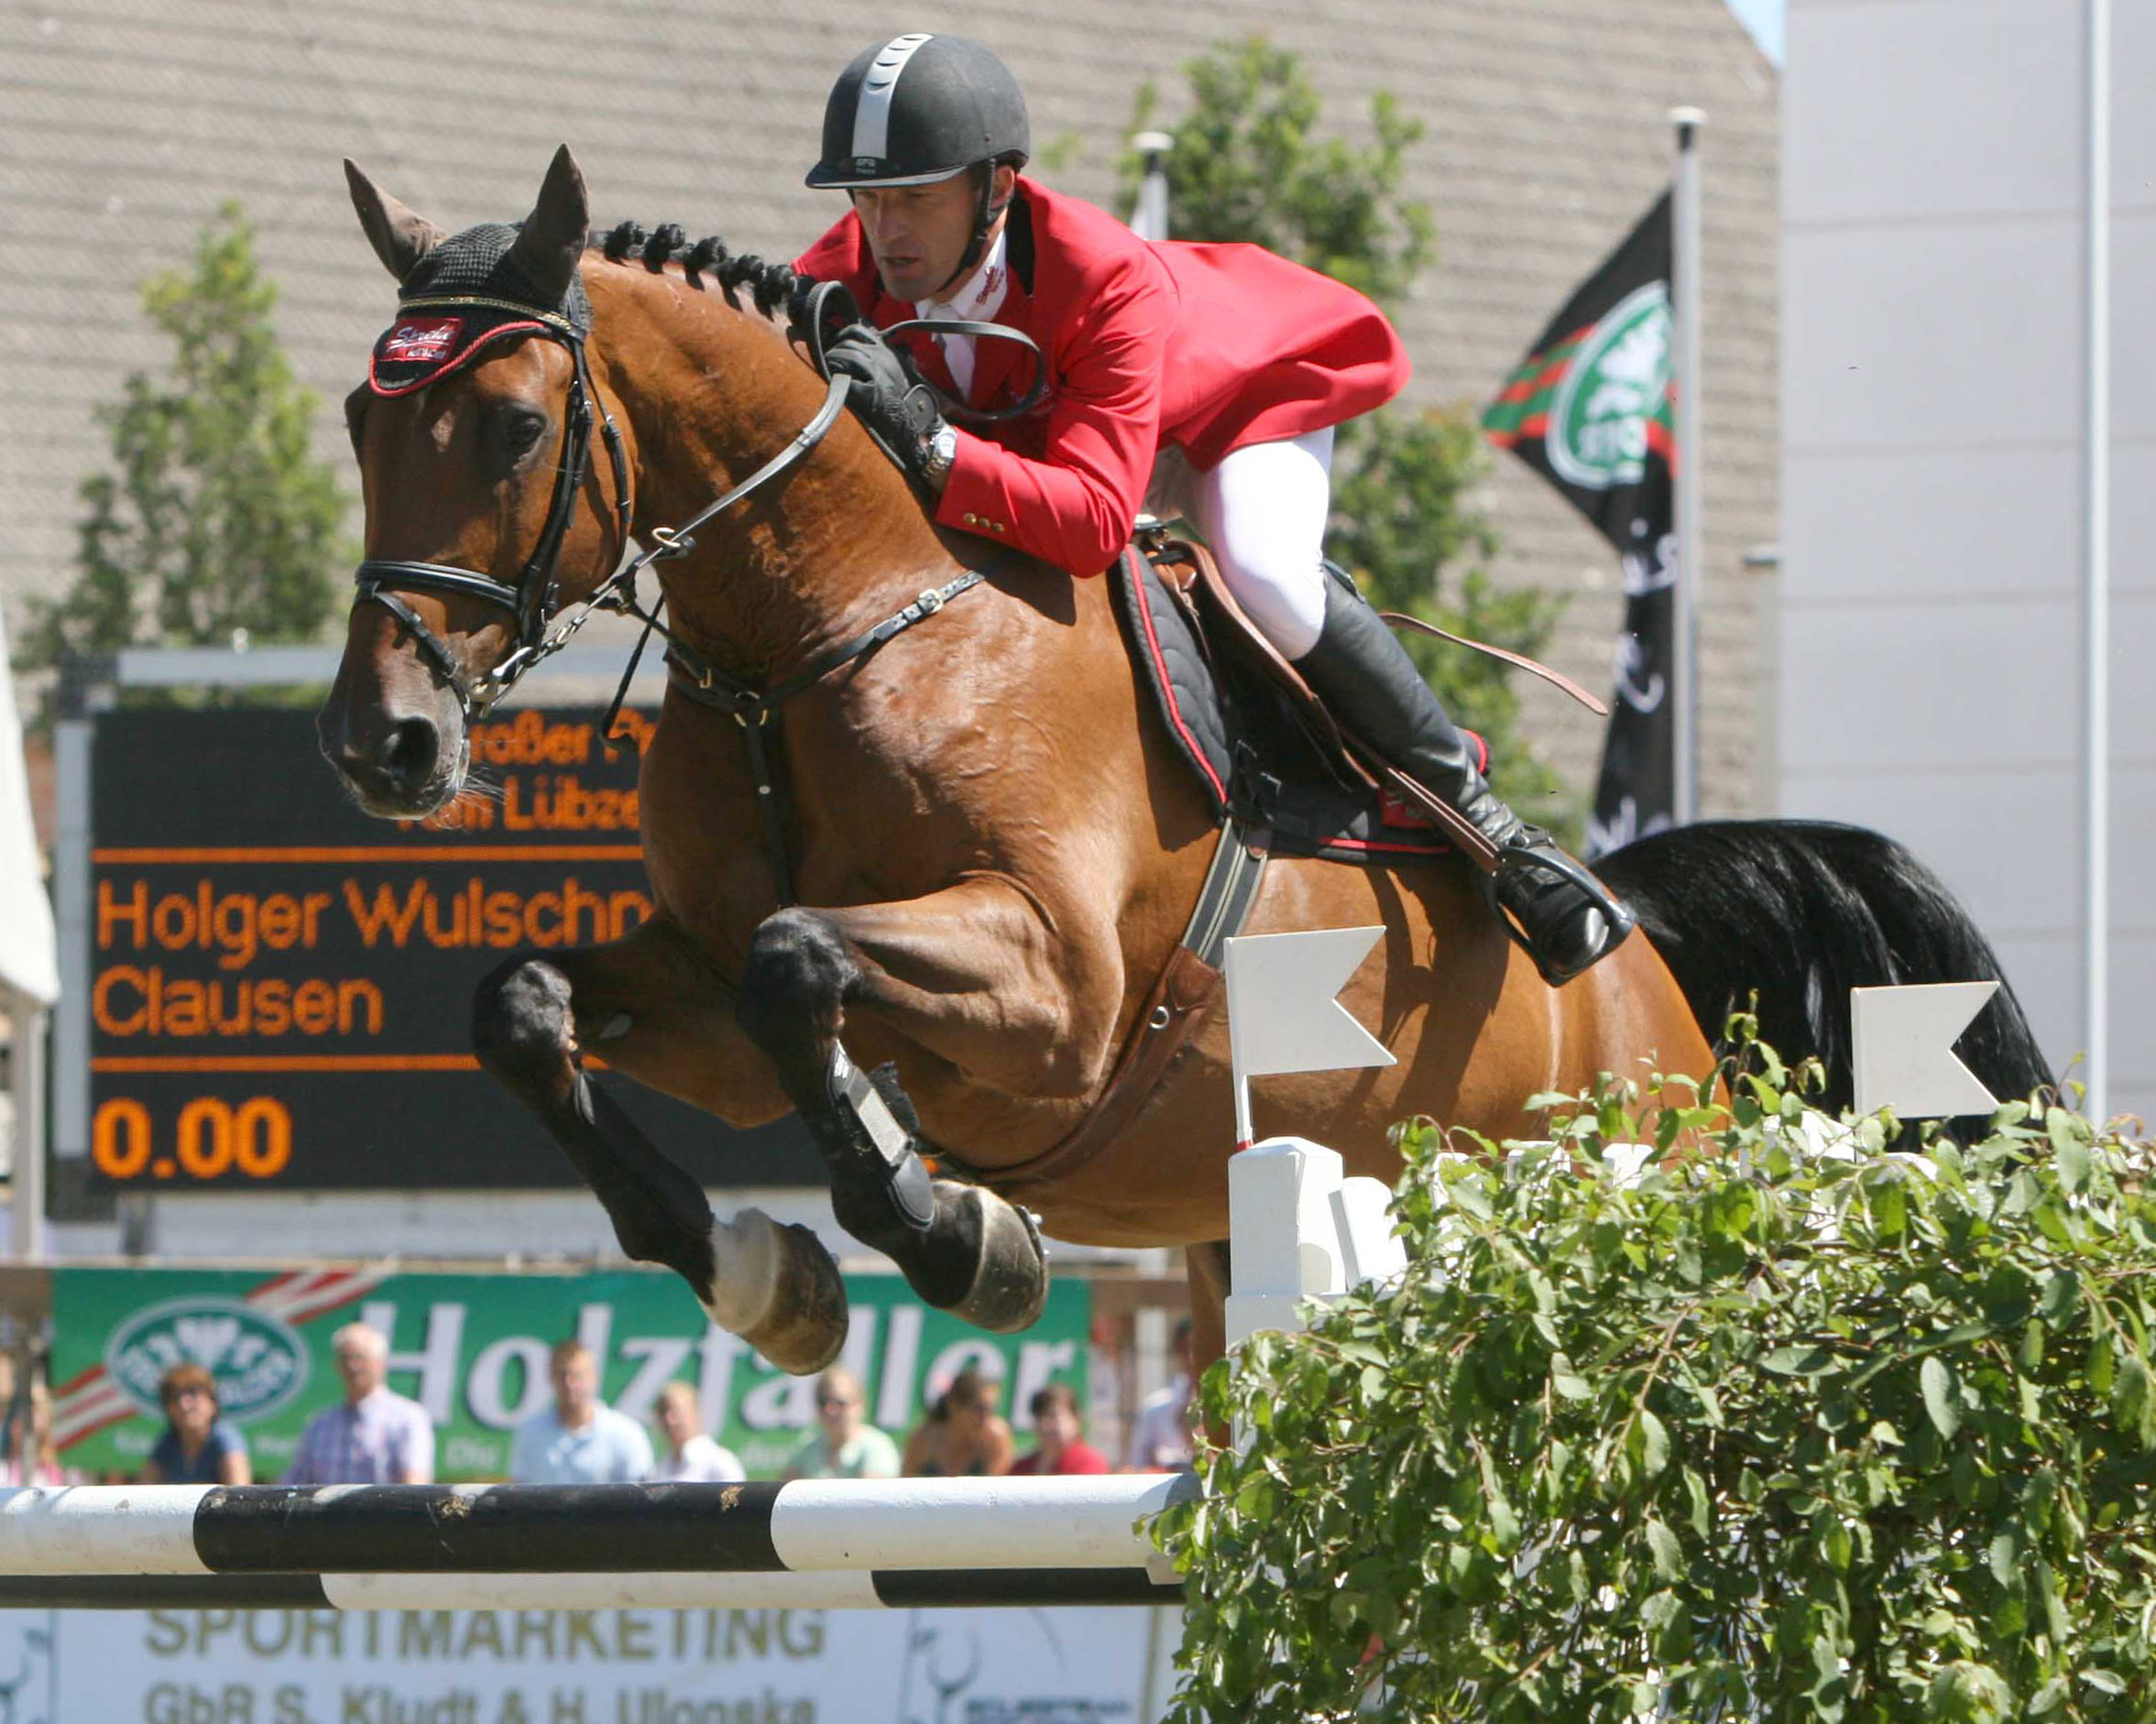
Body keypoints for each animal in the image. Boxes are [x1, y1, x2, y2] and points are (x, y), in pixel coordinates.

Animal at [319, 155, 2052, 1379]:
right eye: (358, 416)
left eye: (515, 427)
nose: (380, 740)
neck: (821, 630)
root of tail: (1659, 965)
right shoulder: (715, 1000)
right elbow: (530, 1005)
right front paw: (769, 1279)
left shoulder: (1056, 987)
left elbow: (797, 957)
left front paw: (956, 1234)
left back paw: (1539, 882)